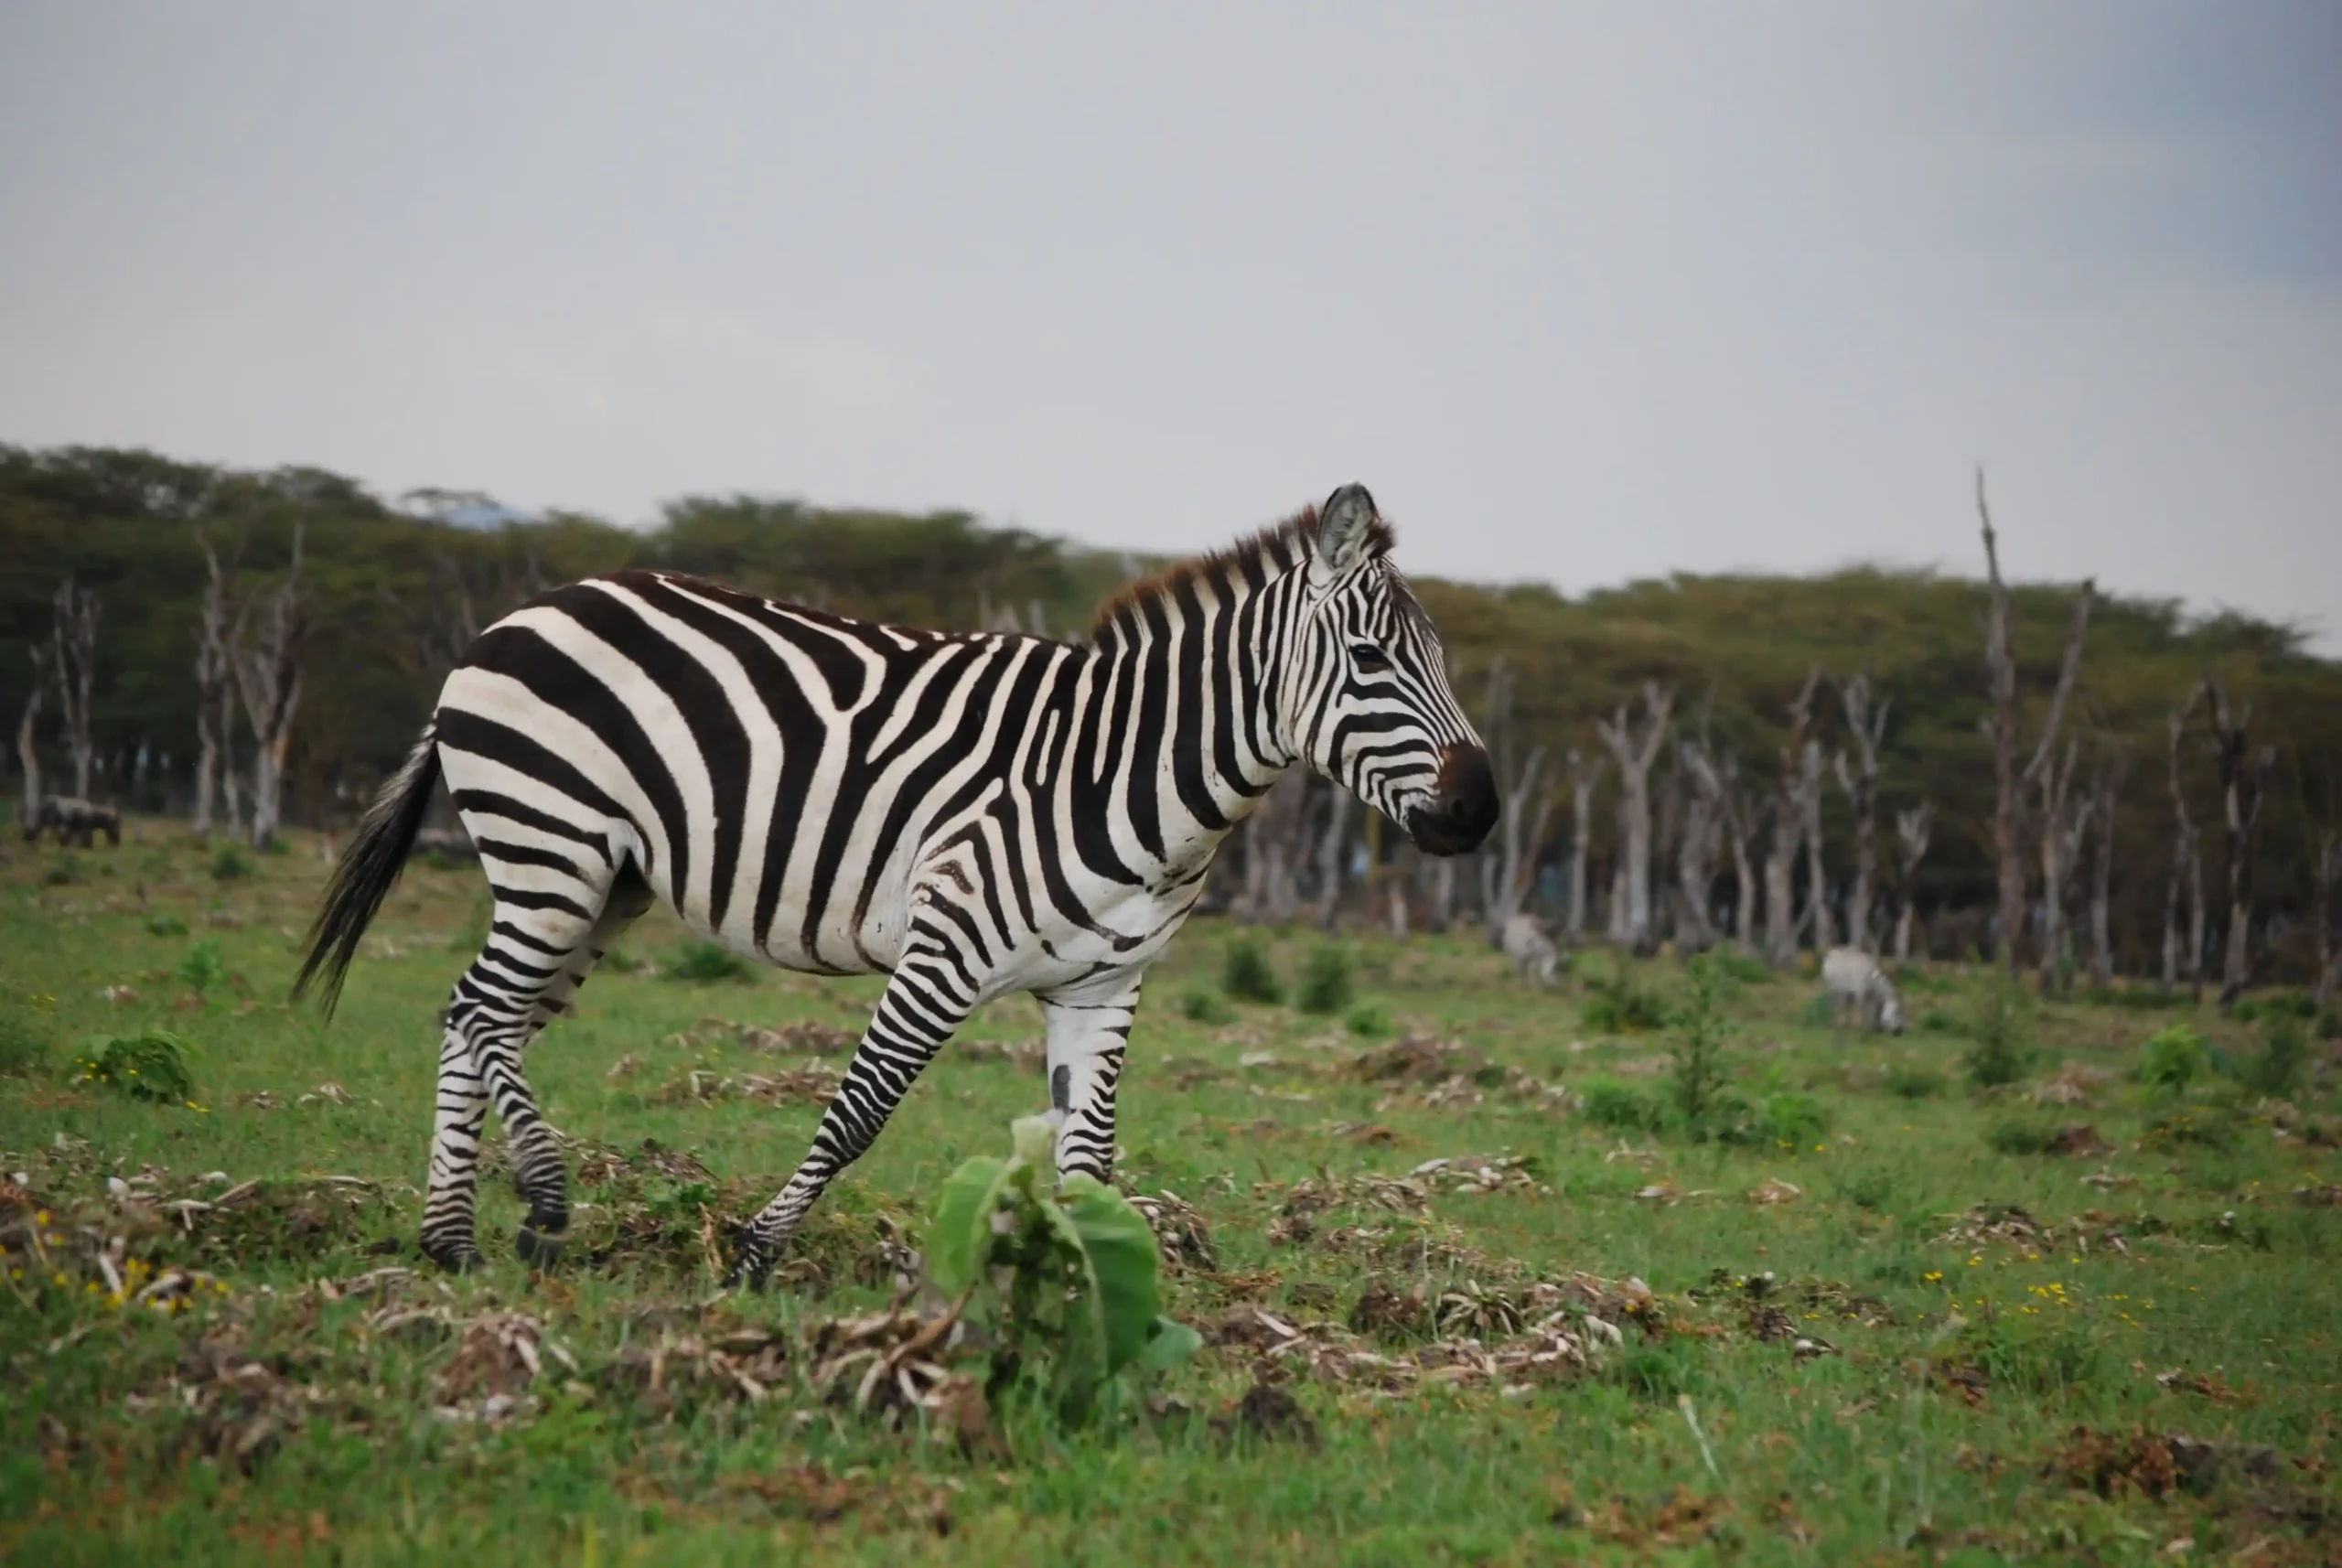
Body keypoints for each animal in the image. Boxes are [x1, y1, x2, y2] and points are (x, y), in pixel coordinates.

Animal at [294, 485, 1498, 1286]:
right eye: (1371, 662)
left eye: (1439, 660)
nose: (1480, 811)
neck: (1124, 769)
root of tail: (521, 611)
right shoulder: (944, 949)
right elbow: (858, 1110)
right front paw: (756, 1254)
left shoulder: (1104, 988)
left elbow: (1090, 1162)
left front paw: (1085, 1298)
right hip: (554, 846)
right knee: (479, 1011)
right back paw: (536, 1197)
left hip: (601, 885)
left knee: (477, 1015)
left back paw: (451, 1240)